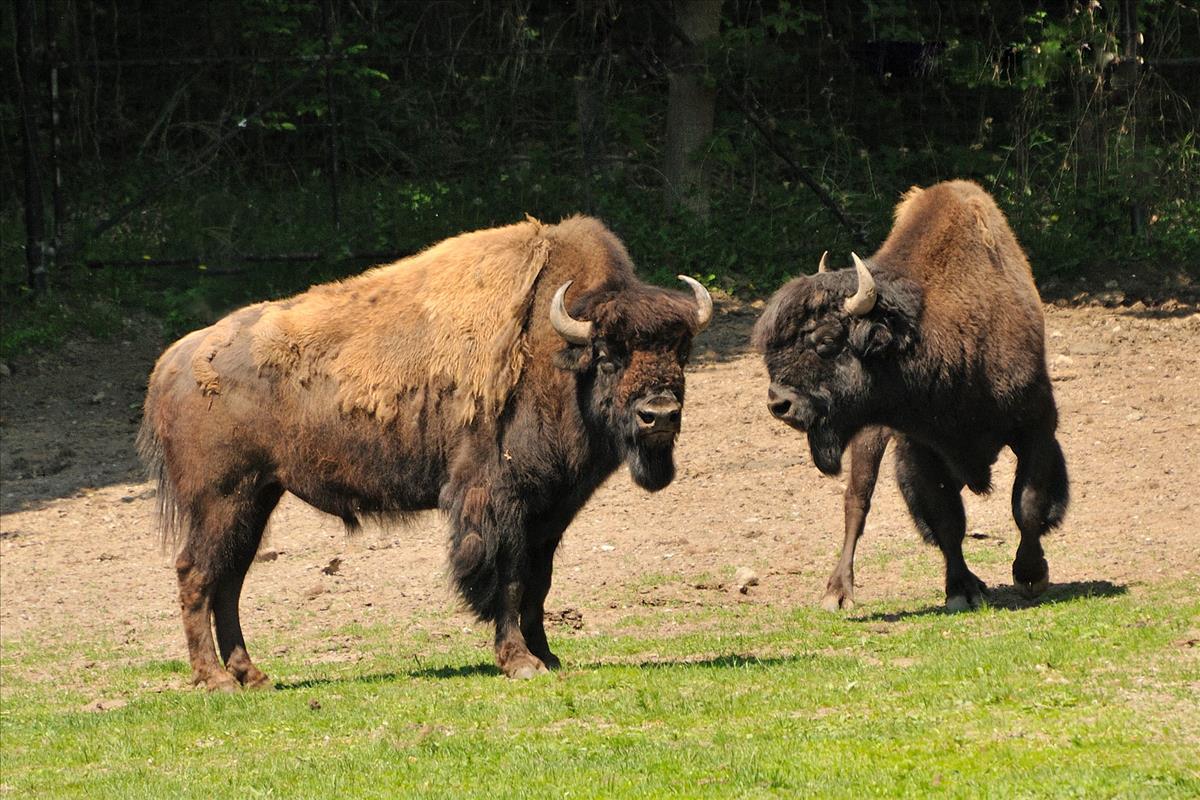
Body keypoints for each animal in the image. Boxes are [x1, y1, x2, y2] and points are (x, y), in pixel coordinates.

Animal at [145, 214, 715, 690]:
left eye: (681, 349)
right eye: (608, 352)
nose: (659, 415)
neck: (555, 355)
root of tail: (176, 358)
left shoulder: (550, 512)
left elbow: (538, 583)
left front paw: (549, 657)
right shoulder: (498, 500)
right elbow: (509, 580)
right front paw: (521, 662)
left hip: (257, 498)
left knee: (229, 580)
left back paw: (253, 676)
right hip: (222, 499)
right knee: (196, 573)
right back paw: (216, 680)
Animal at [753, 181, 1075, 614]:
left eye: (827, 342)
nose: (779, 403)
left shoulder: (1036, 426)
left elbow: (1027, 502)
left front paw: (1031, 575)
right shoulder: (920, 448)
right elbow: (947, 521)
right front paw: (962, 589)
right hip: (869, 436)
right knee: (856, 502)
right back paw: (837, 592)